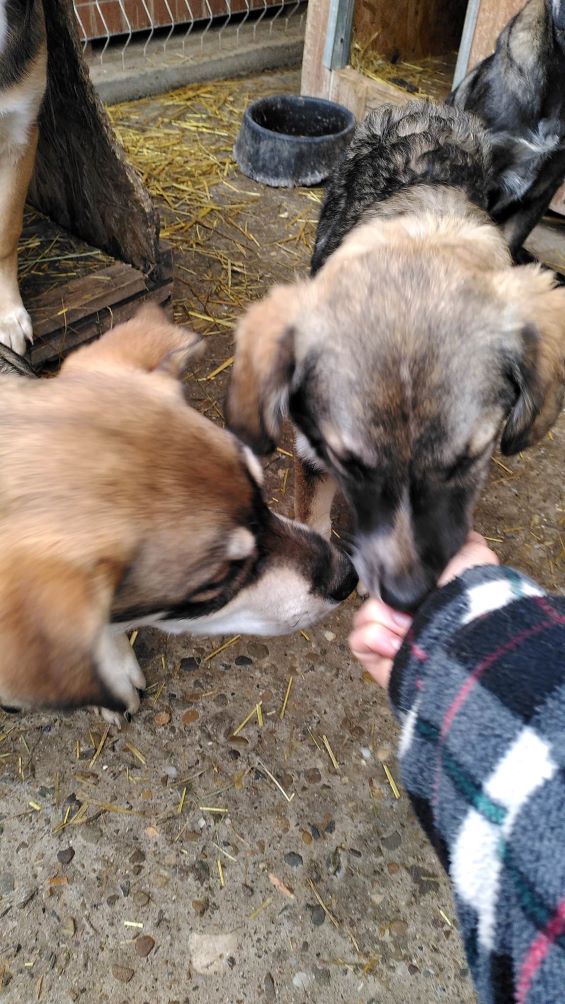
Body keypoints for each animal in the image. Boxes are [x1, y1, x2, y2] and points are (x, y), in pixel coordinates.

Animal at [227, 105, 565, 614]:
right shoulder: (314, 451)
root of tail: (428, 108)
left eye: (467, 461)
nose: (409, 598)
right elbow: (315, 513)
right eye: (351, 464)